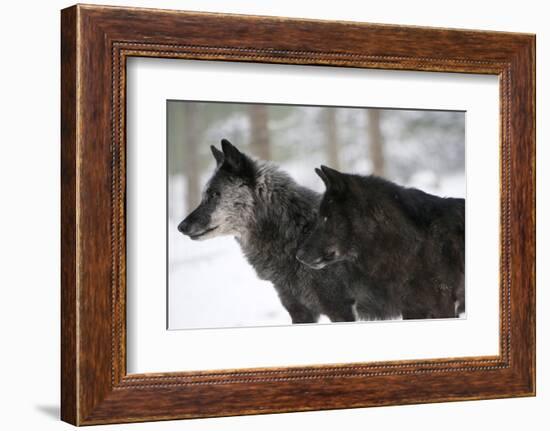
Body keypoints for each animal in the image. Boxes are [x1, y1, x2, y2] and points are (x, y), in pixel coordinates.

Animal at [178, 140, 358, 326]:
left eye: (214, 194)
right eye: (204, 195)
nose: (181, 227)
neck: (297, 233)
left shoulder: (340, 310)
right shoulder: (299, 312)